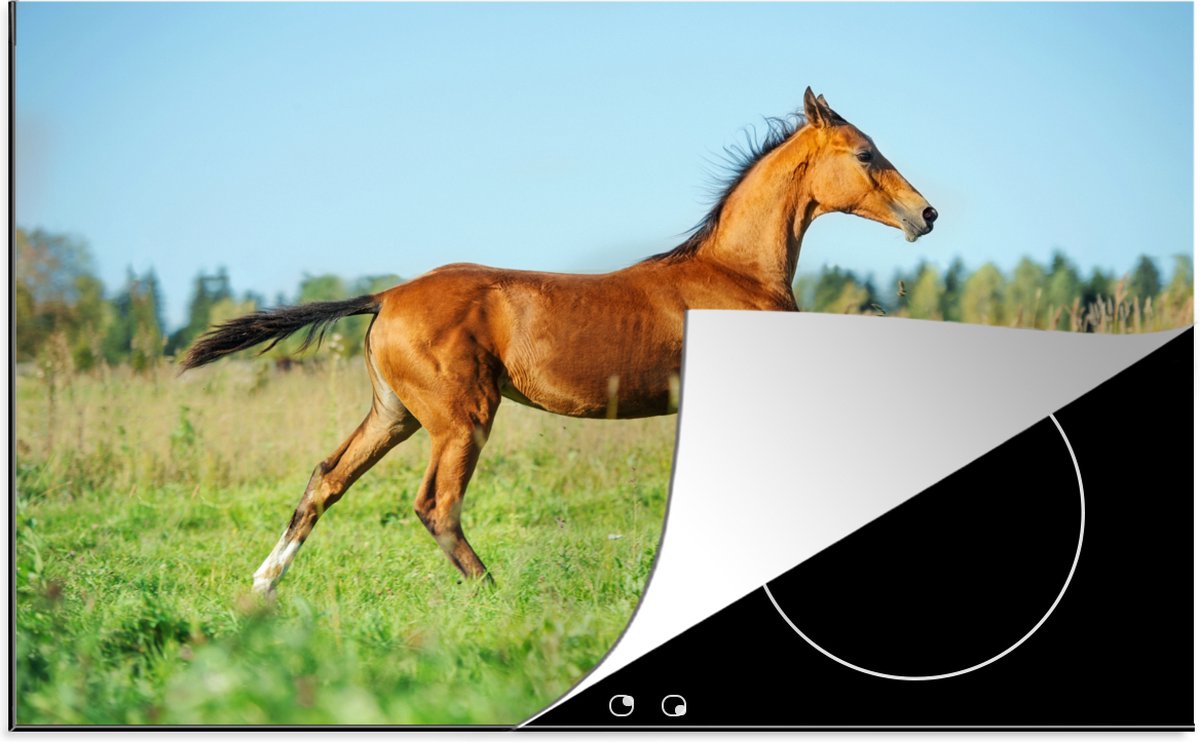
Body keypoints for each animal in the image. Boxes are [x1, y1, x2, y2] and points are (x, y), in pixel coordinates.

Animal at [181, 88, 937, 596]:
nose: (925, 214)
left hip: (394, 414)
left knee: (327, 478)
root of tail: (387, 296)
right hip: (462, 417)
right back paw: (493, 593)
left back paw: (262, 586)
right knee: (435, 505)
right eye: (866, 153)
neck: (736, 272)